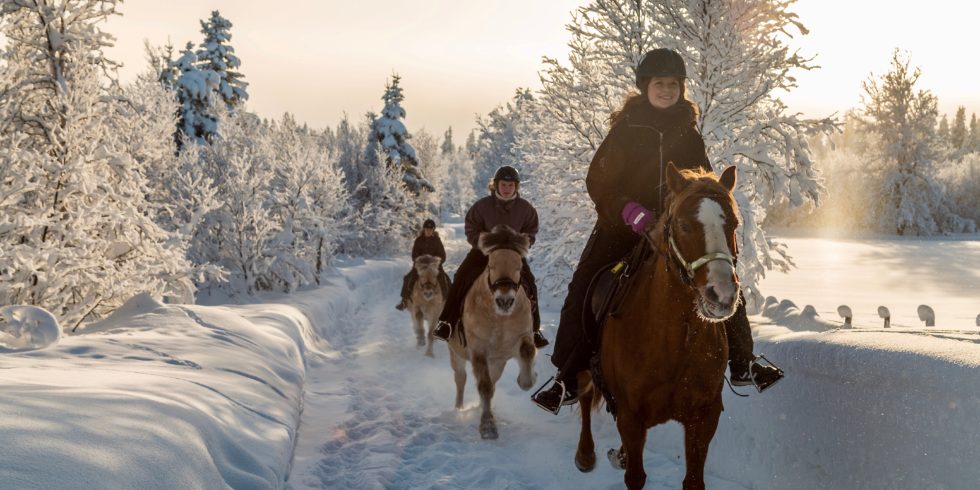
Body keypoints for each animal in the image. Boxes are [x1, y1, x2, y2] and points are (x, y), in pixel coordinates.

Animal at [450, 226, 540, 440]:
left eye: (519, 267)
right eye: (491, 265)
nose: (505, 301)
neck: (499, 318)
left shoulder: (518, 340)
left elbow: (528, 353)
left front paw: (528, 379)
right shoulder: (478, 349)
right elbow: (484, 386)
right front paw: (488, 426)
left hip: (497, 363)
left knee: (492, 381)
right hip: (457, 355)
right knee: (461, 379)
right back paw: (459, 408)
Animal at [572, 165, 740, 490]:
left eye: (735, 224)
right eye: (685, 225)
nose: (722, 294)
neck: (675, 339)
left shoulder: (704, 417)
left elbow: (693, 481)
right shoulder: (631, 417)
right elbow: (635, 477)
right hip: (583, 363)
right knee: (584, 393)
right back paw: (585, 454)